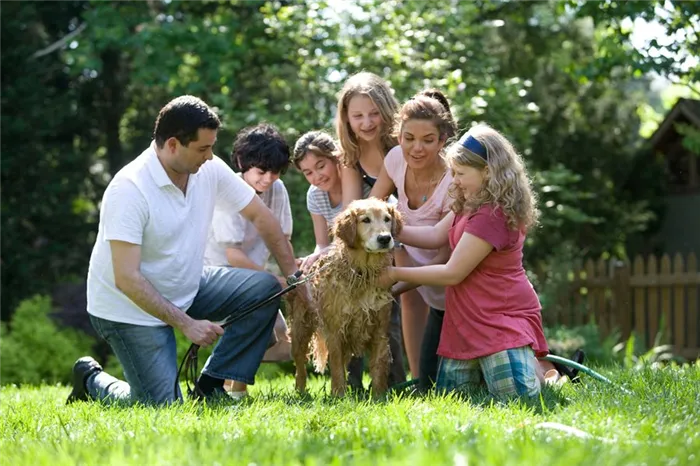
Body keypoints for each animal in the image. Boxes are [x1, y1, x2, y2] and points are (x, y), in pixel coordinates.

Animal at [288, 197, 402, 396]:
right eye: (366, 220)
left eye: (387, 219)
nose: (385, 238)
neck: (362, 273)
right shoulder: (335, 332)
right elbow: (336, 369)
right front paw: (339, 396)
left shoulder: (380, 330)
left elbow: (378, 367)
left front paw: (379, 396)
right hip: (300, 330)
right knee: (300, 367)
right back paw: (301, 393)